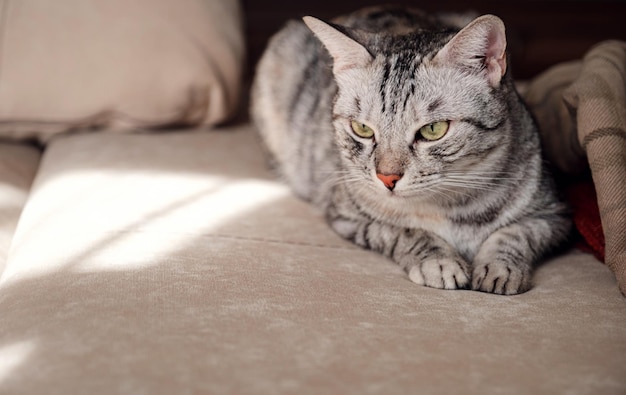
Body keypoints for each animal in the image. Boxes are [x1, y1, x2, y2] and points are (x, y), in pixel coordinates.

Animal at [250, 5, 572, 294]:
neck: (454, 208)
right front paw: (440, 261)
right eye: (362, 129)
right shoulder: (348, 215)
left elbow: (514, 234)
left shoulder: (553, 216)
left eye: (433, 130)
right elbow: (406, 232)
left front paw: (499, 268)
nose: (387, 178)